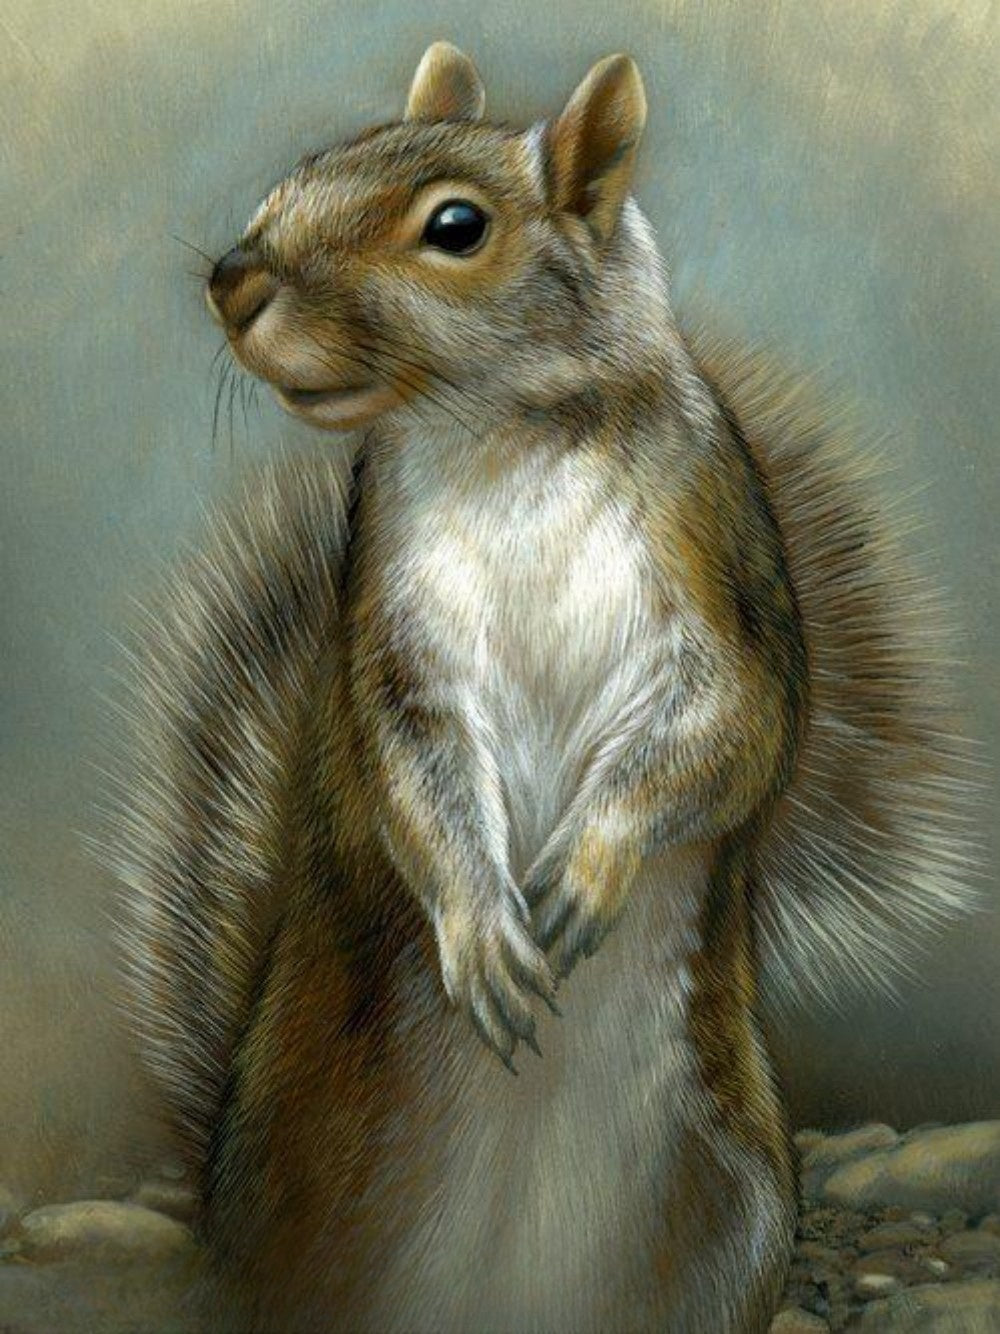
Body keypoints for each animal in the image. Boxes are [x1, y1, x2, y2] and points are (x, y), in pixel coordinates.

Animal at [109, 42, 978, 1334]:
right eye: (309, 161)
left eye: (456, 227)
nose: (230, 280)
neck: (505, 438)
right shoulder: (396, 638)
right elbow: (409, 773)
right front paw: (482, 927)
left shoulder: (720, 576)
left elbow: (732, 731)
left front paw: (582, 868)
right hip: (312, 1209)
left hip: (727, 1211)